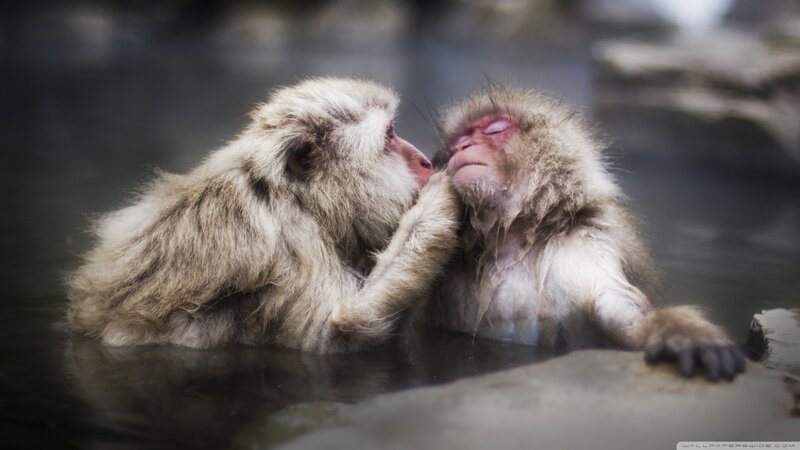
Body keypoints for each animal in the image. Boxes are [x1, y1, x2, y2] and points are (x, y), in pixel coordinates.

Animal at [67, 77, 462, 353]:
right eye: (391, 135)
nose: (425, 161)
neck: (299, 200)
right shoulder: (290, 249)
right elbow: (338, 332)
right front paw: (437, 201)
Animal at [425, 87, 746, 380]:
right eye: (456, 143)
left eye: (494, 129)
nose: (461, 147)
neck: (514, 238)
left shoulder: (584, 241)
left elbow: (616, 302)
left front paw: (680, 331)